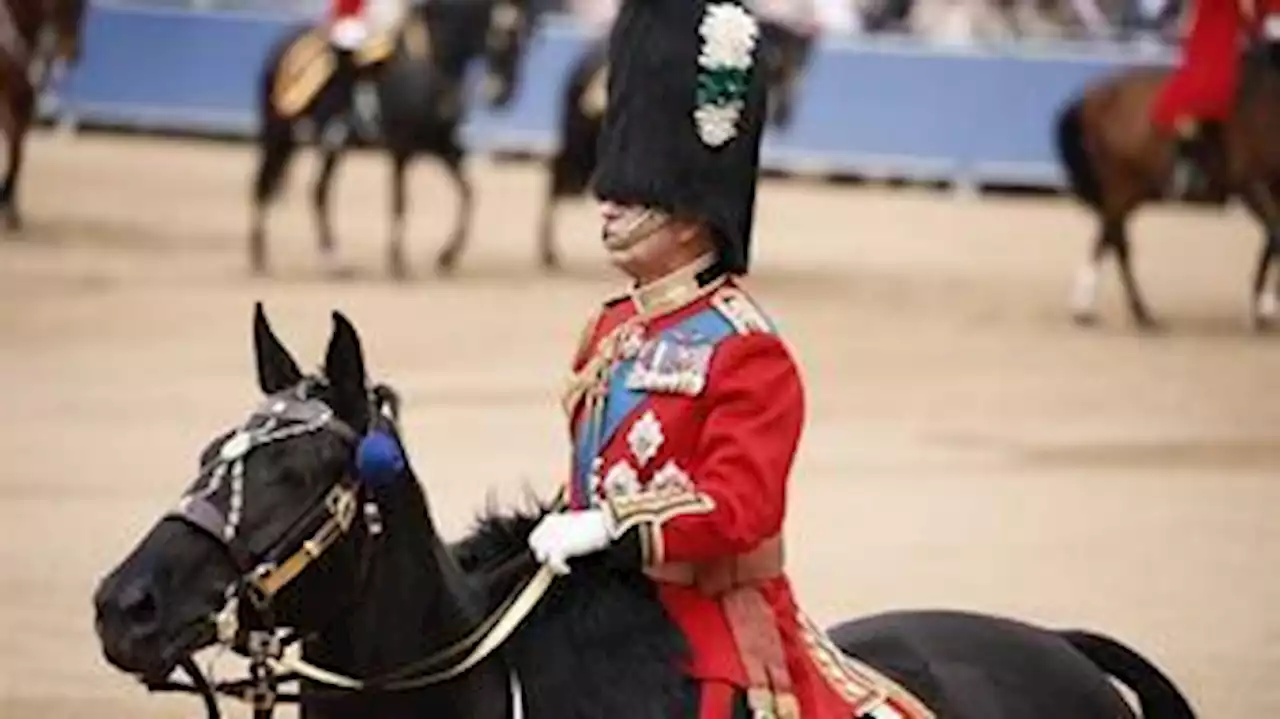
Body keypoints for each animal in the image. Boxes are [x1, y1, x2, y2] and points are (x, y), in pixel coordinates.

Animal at [0, 0, 87, 229]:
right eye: (67, 5)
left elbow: (17, 152)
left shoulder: (19, 100)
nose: (73, 53)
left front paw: (11, 211)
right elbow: (15, 152)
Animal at [249, 0, 535, 277]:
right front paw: (399, 263)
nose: (502, 95)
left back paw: (333, 261)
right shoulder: (401, 148)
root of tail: (279, 48)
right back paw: (260, 257)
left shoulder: (441, 146)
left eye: (526, 39)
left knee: (317, 192)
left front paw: (446, 257)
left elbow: (468, 194)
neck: (429, 64)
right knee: (264, 185)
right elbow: (400, 202)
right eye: (506, 34)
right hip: (278, 133)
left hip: (326, 147)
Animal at [535, 22, 814, 269]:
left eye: (801, 66)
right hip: (583, 139)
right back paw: (549, 252)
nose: (785, 115)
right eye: (782, 67)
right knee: (559, 173)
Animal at [1054, 39, 1280, 330]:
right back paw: (1139, 314)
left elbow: (1271, 240)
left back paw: (1091, 308)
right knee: (1118, 242)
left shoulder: (1272, 189)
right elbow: (1276, 237)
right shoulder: (1252, 185)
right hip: (1122, 185)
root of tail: (1097, 95)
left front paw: (1263, 307)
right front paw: (1263, 307)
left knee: (1109, 236)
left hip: (1132, 190)